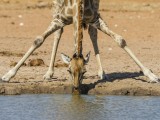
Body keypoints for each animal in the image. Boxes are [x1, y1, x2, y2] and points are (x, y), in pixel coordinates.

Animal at [0, 0, 159, 88]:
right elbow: (38, 40)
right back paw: (48, 73)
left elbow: (120, 39)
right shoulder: (60, 19)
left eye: (84, 72)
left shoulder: (95, 17)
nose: (76, 88)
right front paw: (7, 75)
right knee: (58, 34)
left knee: (92, 33)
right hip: (55, 7)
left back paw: (102, 72)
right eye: (68, 70)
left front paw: (151, 75)